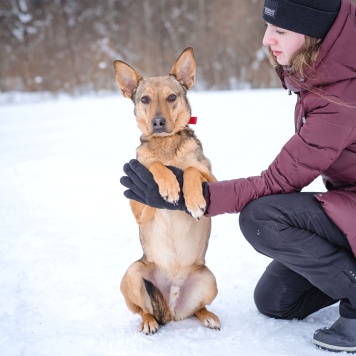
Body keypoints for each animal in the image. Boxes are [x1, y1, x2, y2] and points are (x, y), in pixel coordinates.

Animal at [114, 46, 220, 334]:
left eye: (171, 97)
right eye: (145, 99)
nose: (159, 122)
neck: (166, 146)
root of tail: (172, 307)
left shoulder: (211, 177)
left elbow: (192, 170)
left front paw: (192, 200)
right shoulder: (138, 205)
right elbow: (154, 165)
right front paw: (169, 185)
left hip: (208, 278)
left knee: (196, 309)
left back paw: (208, 316)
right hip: (132, 273)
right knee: (143, 310)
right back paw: (150, 321)